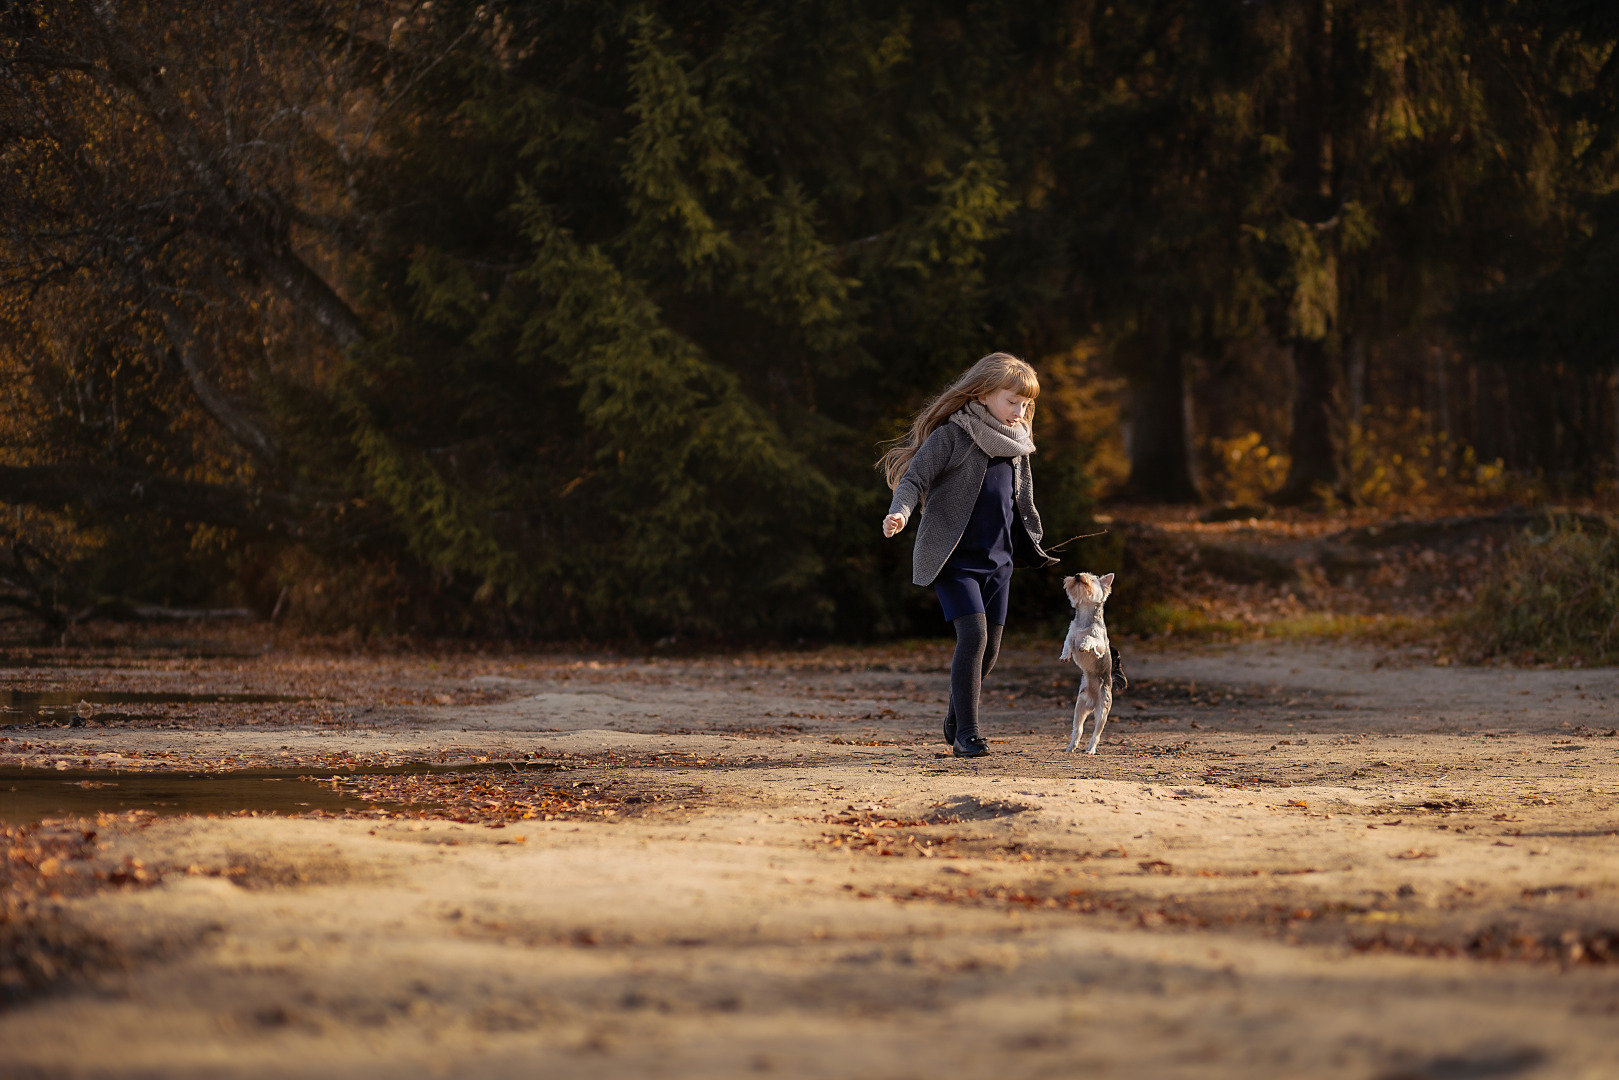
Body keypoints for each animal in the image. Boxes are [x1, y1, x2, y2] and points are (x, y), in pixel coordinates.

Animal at [1062, 569, 1113, 757]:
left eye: (1091, 578)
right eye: (1078, 573)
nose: (1078, 575)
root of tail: (1092, 703)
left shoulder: (1100, 644)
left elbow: (1091, 639)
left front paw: (1084, 645)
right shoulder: (1071, 634)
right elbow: (1067, 643)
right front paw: (1065, 656)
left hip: (1103, 709)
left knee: (1096, 733)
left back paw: (1090, 749)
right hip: (1079, 707)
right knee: (1079, 729)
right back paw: (1071, 746)